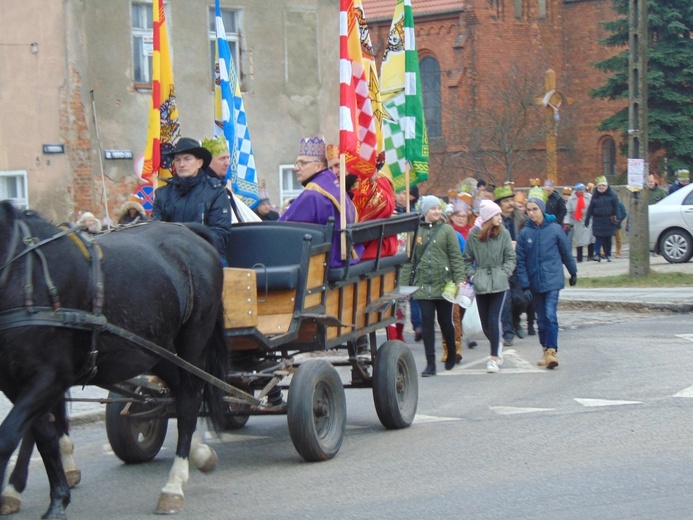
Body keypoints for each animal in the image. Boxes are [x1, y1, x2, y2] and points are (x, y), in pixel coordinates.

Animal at [0, 201, 227, 516]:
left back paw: (174, 484)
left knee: (188, 405)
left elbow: (11, 436)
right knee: (181, 396)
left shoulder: (48, 377)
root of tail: (192, 233)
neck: (26, 275)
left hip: (192, 347)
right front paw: (55, 498)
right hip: (158, 352)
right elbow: (42, 435)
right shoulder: (15, 381)